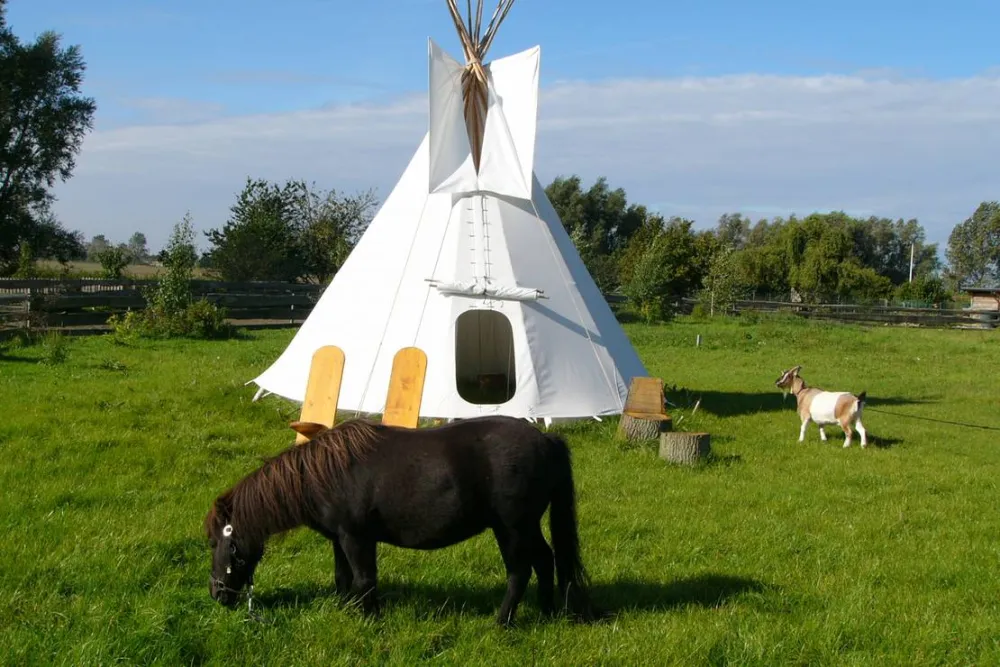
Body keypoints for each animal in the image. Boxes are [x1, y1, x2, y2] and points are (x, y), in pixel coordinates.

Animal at [203, 415, 596, 627]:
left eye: (220, 543)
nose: (217, 594)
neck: (323, 475)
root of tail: (546, 439)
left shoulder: (356, 538)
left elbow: (364, 580)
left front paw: (369, 618)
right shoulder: (339, 539)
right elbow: (343, 577)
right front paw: (347, 611)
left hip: (512, 528)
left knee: (520, 571)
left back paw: (503, 622)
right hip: (528, 527)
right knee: (545, 561)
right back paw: (546, 612)